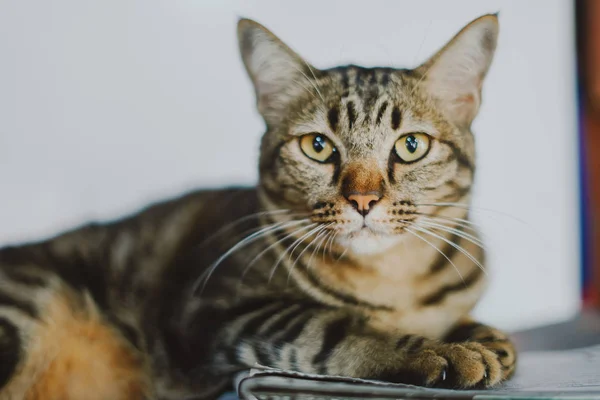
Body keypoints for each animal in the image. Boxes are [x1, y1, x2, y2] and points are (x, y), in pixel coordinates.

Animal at [0, 12, 516, 400]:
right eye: (317, 147)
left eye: (411, 146)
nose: (363, 199)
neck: (393, 280)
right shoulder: (216, 310)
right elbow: (331, 328)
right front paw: (442, 351)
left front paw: (486, 338)